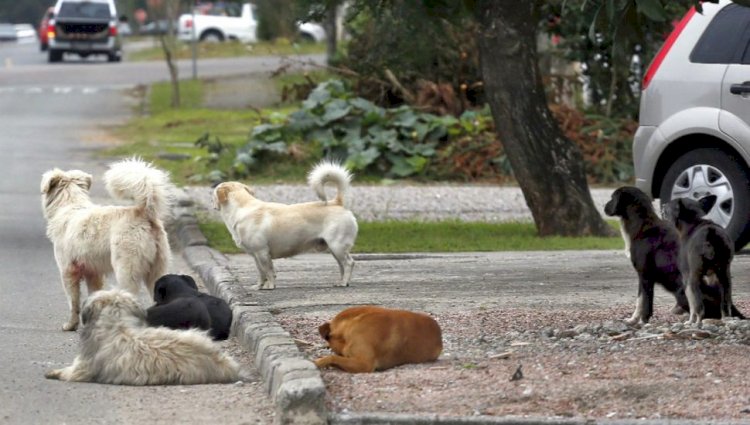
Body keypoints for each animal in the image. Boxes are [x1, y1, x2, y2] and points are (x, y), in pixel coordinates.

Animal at [42, 157, 175, 330]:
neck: (70, 205)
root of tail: (143, 212)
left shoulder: (67, 271)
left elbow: (73, 302)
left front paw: (71, 325)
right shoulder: (93, 273)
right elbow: (91, 296)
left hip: (126, 270)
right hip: (157, 270)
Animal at [213, 161, 360, 290]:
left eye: (213, 193)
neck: (242, 207)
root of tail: (337, 202)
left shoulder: (262, 253)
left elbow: (268, 271)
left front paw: (270, 286)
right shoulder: (256, 256)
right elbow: (261, 273)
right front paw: (259, 286)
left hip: (337, 246)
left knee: (349, 263)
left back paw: (344, 283)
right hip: (334, 249)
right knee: (342, 266)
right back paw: (341, 282)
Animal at [608, 187, 744, 322]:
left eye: (612, 198)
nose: (605, 207)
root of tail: (710, 235)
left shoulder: (645, 276)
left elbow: (642, 301)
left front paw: (639, 321)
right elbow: (644, 302)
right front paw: (638, 319)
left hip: (684, 288)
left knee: (701, 308)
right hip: (723, 277)